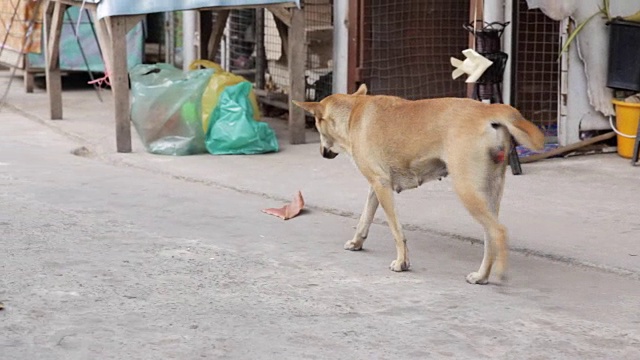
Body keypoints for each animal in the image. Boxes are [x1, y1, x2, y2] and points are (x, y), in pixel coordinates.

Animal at [292, 85, 544, 284]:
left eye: (316, 124)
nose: (323, 153)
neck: (353, 112)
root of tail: (488, 109)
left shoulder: (382, 187)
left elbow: (396, 231)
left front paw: (402, 262)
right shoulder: (377, 185)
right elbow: (365, 218)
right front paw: (357, 241)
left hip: (467, 190)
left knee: (498, 231)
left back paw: (498, 273)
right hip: (490, 193)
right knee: (490, 236)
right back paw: (482, 275)